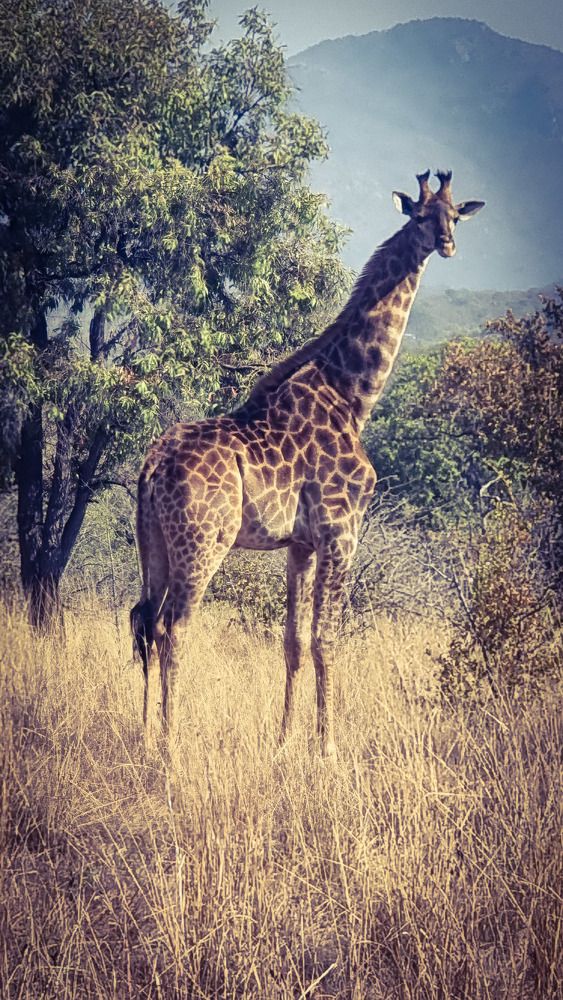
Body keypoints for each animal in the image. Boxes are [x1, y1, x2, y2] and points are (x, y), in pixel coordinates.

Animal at [131, 170, 484, 757]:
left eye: (455, 215)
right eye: (419, 217)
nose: (448, 244)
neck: (353, 394)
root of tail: (152, 466)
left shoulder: (299, 543)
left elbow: (292, 641)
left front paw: (283, 740)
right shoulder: (342, 530)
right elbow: (327, 638)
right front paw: (328, 747)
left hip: (153, 541)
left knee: (142, 621)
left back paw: (144, 734)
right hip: (204, 542)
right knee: (172, 628)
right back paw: (169, 745)